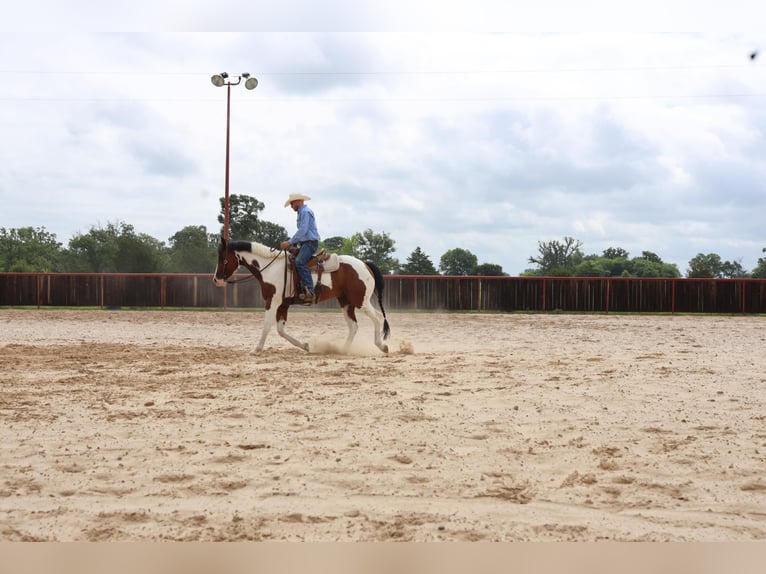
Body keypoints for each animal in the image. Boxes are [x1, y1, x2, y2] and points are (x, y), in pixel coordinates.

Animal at [213, 237, 392, 356]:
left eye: (222, 258)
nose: (216, 279)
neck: (270, 267)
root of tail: (365, 264)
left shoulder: (273, 301)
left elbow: (267, 326)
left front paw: (256, 349)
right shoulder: (283, 305)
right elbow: (280, 330)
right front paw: (305, 346)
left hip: (360, 301)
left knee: (377, 317)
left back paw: (382, 346)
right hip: (345, 302)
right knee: (353, 326)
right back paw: (343, 349)